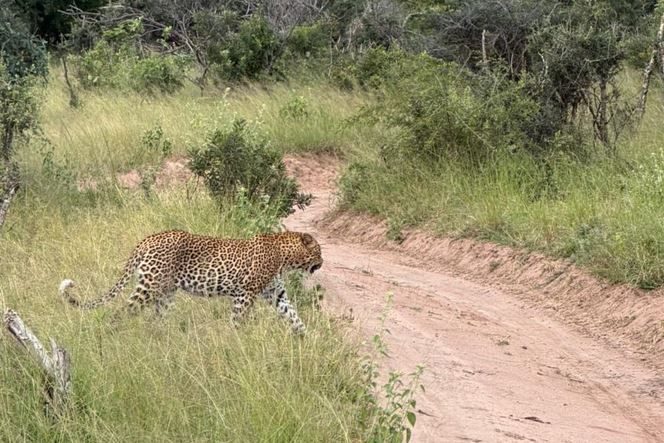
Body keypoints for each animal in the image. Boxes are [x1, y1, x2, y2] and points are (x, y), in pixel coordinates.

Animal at [58, 230, 323, 334]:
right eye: (318, 251)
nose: (322, 262)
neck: (284, 257)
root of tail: (147, 239)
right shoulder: (245, 293)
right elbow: (238, 320)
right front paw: (236, 339)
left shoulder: (275, 293)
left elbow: (294, 316)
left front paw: (307, 338)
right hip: (148, 287)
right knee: (122, 312)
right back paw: (112, 335)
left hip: (165, 293)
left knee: (155, 319)